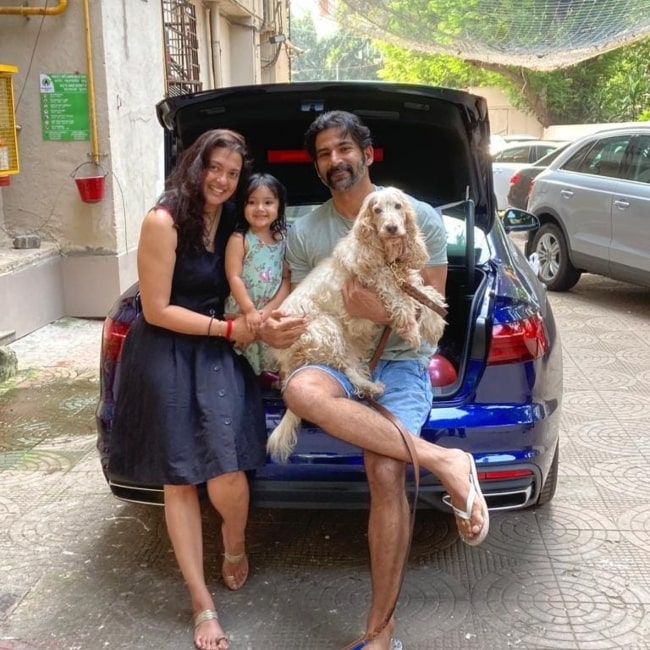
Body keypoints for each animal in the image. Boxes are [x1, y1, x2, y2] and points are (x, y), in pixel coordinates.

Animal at [266, 185, 442, 464]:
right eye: (377, 210)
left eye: (398, 206)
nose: (392, 228)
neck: (387, 256)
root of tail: (285, 359)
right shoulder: (382, 282)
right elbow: (403, 302)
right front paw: (413, 331)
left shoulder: (406, 279)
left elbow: (427, 295)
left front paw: (434, 324)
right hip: (326, 328)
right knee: (347, 370)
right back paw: (372, 387)